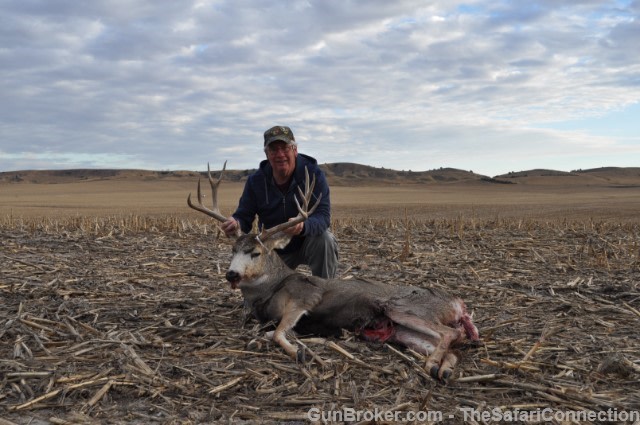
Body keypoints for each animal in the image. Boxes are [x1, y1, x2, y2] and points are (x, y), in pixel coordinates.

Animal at [188, 162, 481, 381]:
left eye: (255, 253)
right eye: (232, 250)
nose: (232, 275)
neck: (270, 290)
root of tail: (458, 303)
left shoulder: (305, 298)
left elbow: (280, 332)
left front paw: (298, 352)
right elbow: (266, 333)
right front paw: (268, 342)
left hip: (403, 308)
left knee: (450, 334)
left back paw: (431, 365)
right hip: (405, 333)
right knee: (454, 349)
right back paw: (442, 369)